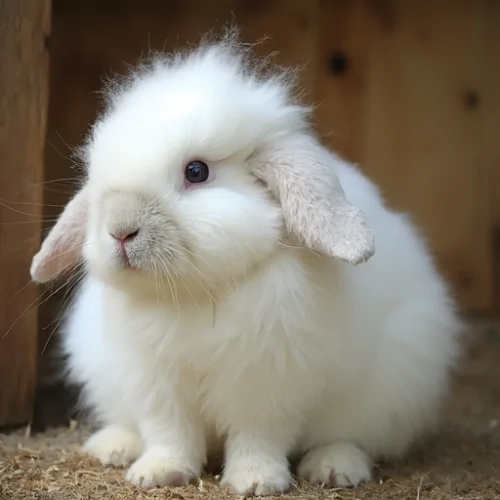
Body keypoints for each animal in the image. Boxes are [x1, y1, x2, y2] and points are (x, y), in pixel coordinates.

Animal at [31, 31, 460, 496]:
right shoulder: (158, 386)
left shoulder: (268, 386)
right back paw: (113, 446)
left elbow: (259, 437)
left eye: (196, 172)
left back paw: (334, 467)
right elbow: (170, 433)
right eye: (99, 181)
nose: (119, 230)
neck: (196, 294)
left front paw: (256, 481)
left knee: (356, 438)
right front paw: (158, 473)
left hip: (392, 384)